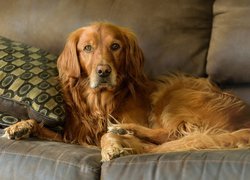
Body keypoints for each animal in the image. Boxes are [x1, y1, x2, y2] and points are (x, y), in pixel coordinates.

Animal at [4, 21, 250, 161]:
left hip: (174, 92)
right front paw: (21, 126)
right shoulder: (74, 136)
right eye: (87, 48)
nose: (103, 71)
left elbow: (105, 136)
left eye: (115, 46)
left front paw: (112, 146)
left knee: (169, 135)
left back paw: (125, 131)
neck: (100, 103)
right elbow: (42, 126)